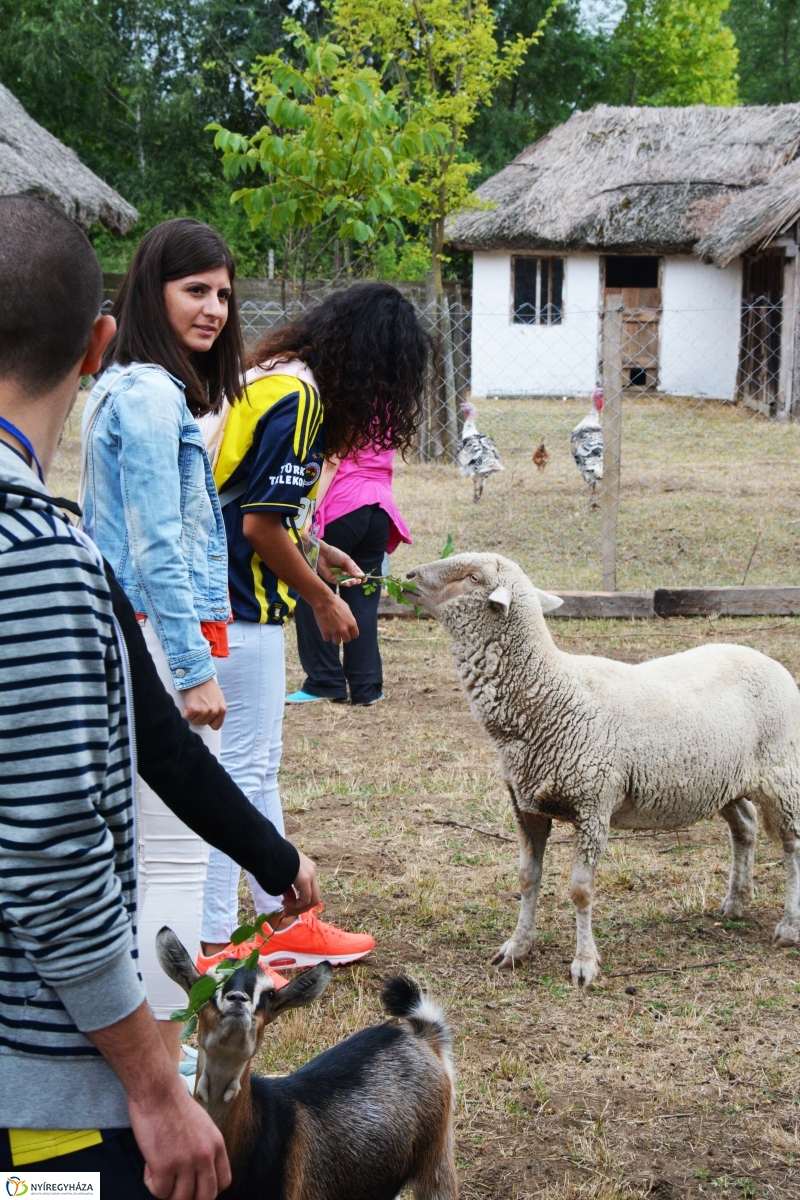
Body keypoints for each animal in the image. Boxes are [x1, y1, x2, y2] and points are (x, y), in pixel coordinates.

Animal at [407, 552, 800, 984]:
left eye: (473, 577)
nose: (408, 576)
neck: (550, 691)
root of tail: (768, 661)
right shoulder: (526, 807)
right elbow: (527, 880)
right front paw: (517, 947)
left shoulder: (592, 805)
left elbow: (581, 891)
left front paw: (584, 963)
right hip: (721, 779)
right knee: (745, 826)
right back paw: (735, 903)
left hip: (781, 775)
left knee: (792, 845)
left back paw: (788, 927)